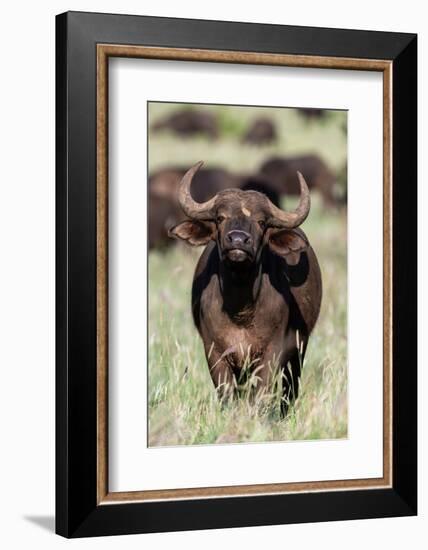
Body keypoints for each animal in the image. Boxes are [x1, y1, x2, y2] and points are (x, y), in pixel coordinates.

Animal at [169, 163, 322, 414]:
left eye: (261, 222)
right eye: (220, 217)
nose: (239, 241)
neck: (240, 308)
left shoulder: (271, 353)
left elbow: (260, 395)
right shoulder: (216, 353)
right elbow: (227, 394)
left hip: (299, 349)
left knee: (289, 389)